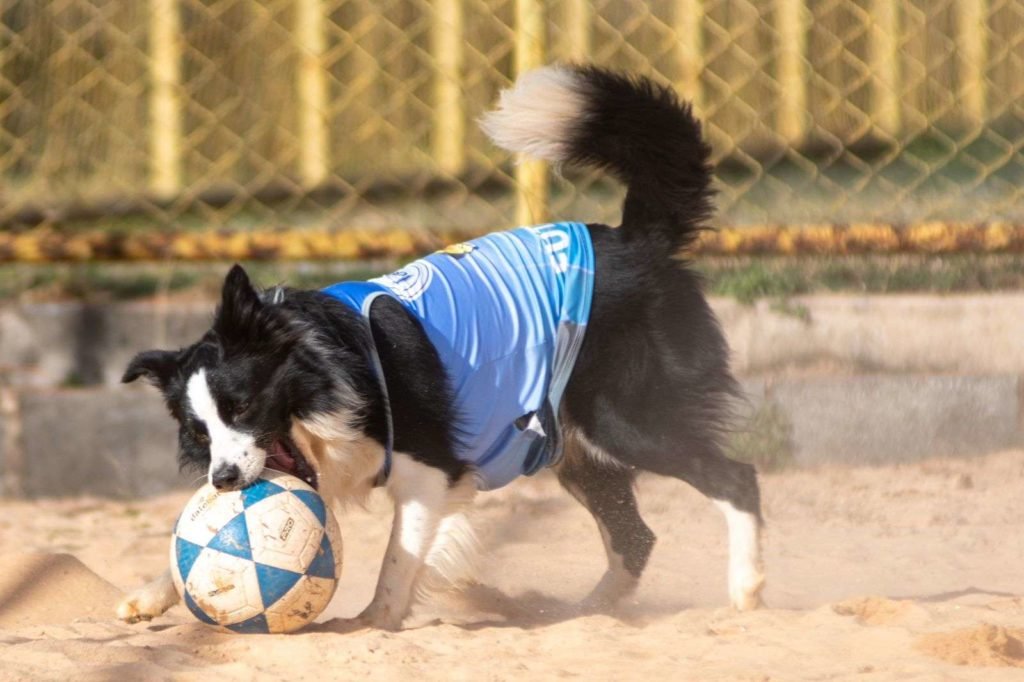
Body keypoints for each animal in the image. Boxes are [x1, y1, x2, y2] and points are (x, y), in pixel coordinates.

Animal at [116, 63, 765, 626]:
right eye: (199, 432)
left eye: (244, 406)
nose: (224, 480)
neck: (331, 363)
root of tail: (636, 240)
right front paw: (150, 595)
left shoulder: (430, 470)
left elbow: (398, 558)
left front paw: (373, 623)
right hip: (571, 444)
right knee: (635, 535)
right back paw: (587, 612)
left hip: (624, 418)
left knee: (735, 478)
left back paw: (745, 589)